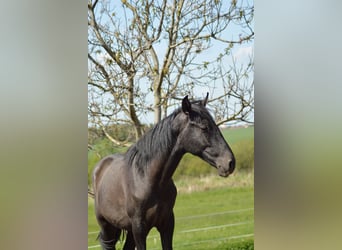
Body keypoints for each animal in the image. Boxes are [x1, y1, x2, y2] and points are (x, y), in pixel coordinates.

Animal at [91, 94, 235, 250]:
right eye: (204, 127)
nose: (230, 163)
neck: (148, 179)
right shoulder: (139, 228)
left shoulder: (167, 224)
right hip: (107, 227)